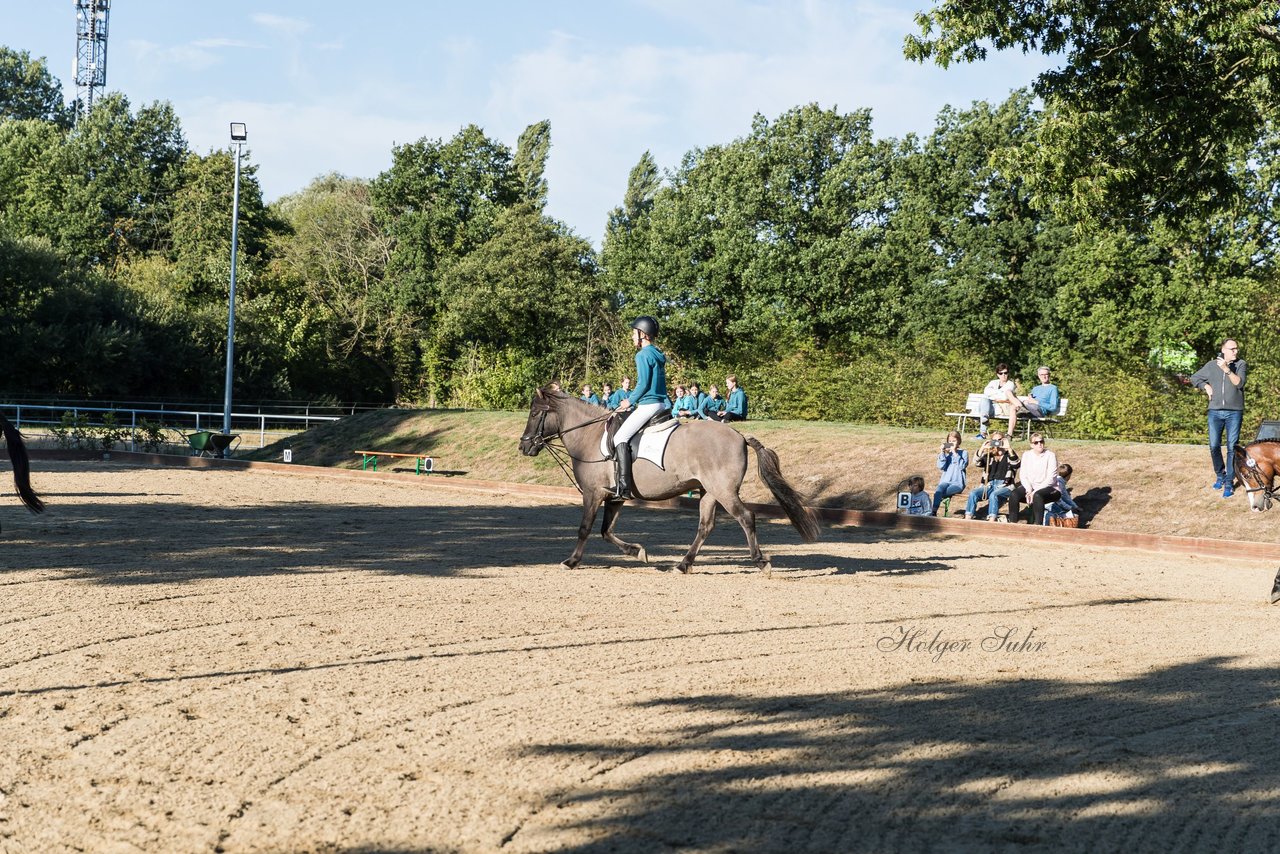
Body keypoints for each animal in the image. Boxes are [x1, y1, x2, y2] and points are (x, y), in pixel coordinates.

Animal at [519, 386, 819, 573]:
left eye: (534, 414)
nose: (524, 447)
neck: (589, 437)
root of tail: (739, 435)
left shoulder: (593, 493)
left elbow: (585, 528)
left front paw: (571, 561)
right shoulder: (614, 496)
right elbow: (606, 531)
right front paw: (637, 551)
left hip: (724, 491)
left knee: (746, 517)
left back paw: (760, 562)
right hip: (708, 492)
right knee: (705, 526)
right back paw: (683, 564)